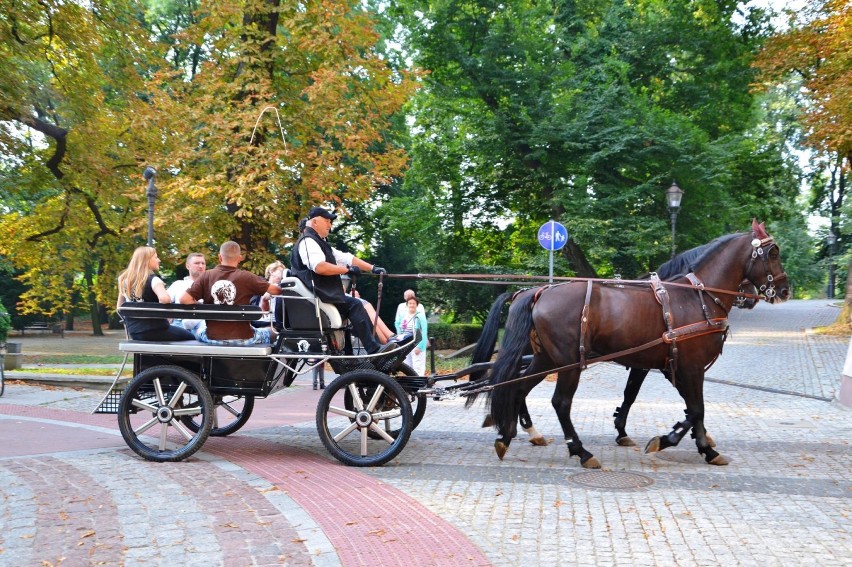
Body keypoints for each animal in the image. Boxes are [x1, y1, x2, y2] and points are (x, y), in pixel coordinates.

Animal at [476, 220, 788, 468]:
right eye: (773, 253)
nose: (785, 289)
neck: (696, 297)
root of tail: (539, 291)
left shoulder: (671, 366)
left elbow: (684, 406)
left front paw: (705, 446)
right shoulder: (690, 367)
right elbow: (695, 409)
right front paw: (670, 439)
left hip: (546, 359)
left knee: (518, 388)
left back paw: (507, 436)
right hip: (568, 362)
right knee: (560, 403)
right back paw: (580, 451)